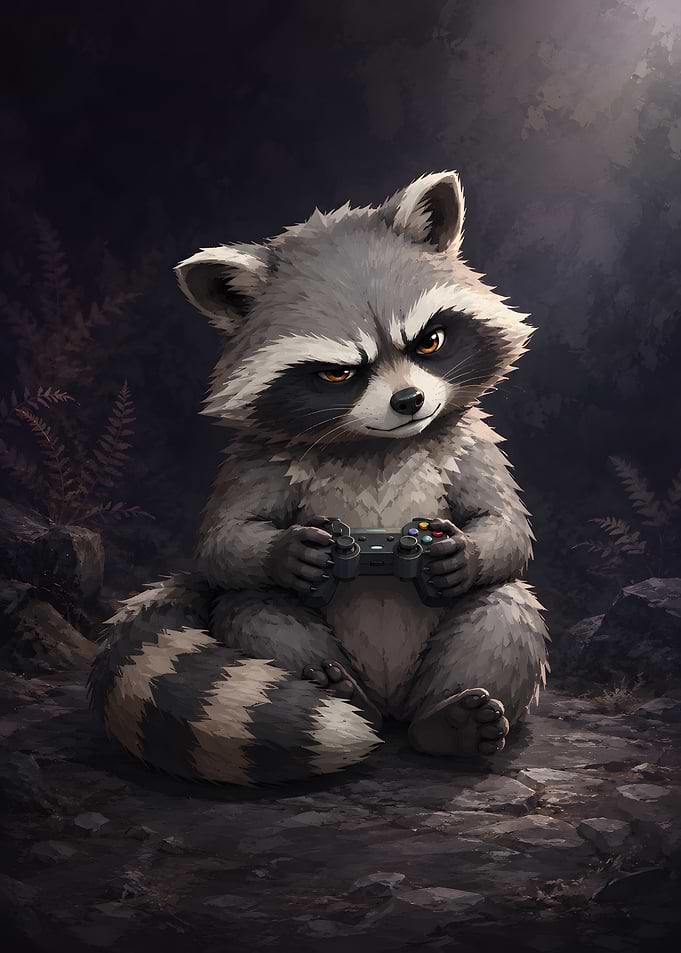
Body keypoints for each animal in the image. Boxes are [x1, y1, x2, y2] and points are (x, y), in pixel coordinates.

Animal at [89, 171, 549, 785]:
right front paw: (289, 551)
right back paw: (344, 691)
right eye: (338, 373)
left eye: (428, 341)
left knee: (504, 609)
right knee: (257, 611)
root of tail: (393, 705)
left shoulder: (466, 442)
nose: (410, 401)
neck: (376, 445)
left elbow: (505, 526)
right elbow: (223, 539)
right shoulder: (262, 456)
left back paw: (447, 720)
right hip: (292, 635)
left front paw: (463, 552)